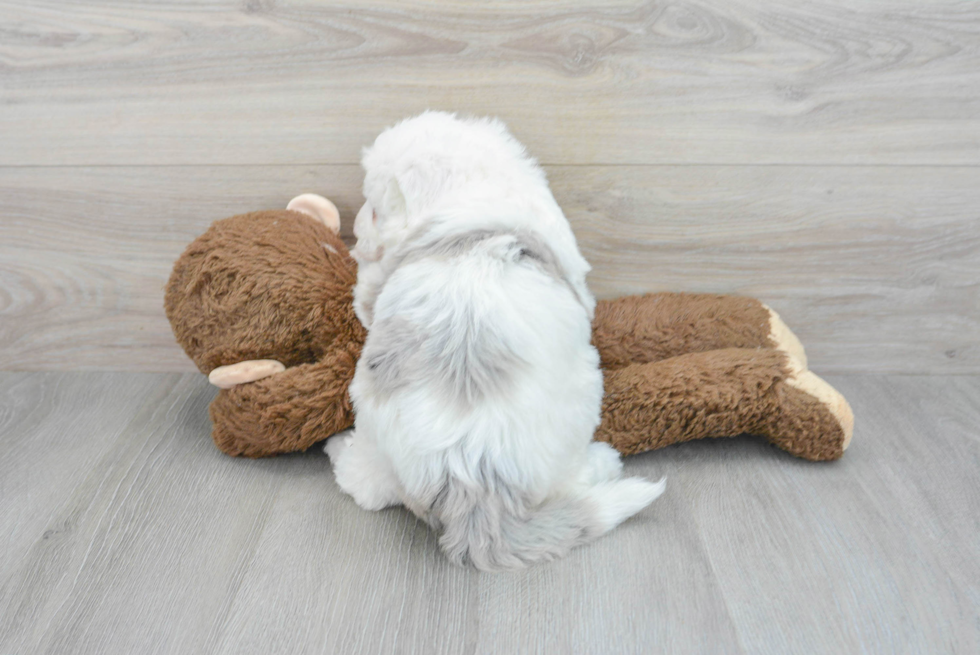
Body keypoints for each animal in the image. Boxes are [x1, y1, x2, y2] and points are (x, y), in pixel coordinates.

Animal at [326, 111, 664, 568]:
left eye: (376, 210)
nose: (356, 225)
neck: (471, 199)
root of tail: (470, 478)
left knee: (370, 488)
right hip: (581, 400)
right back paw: (604, 462)